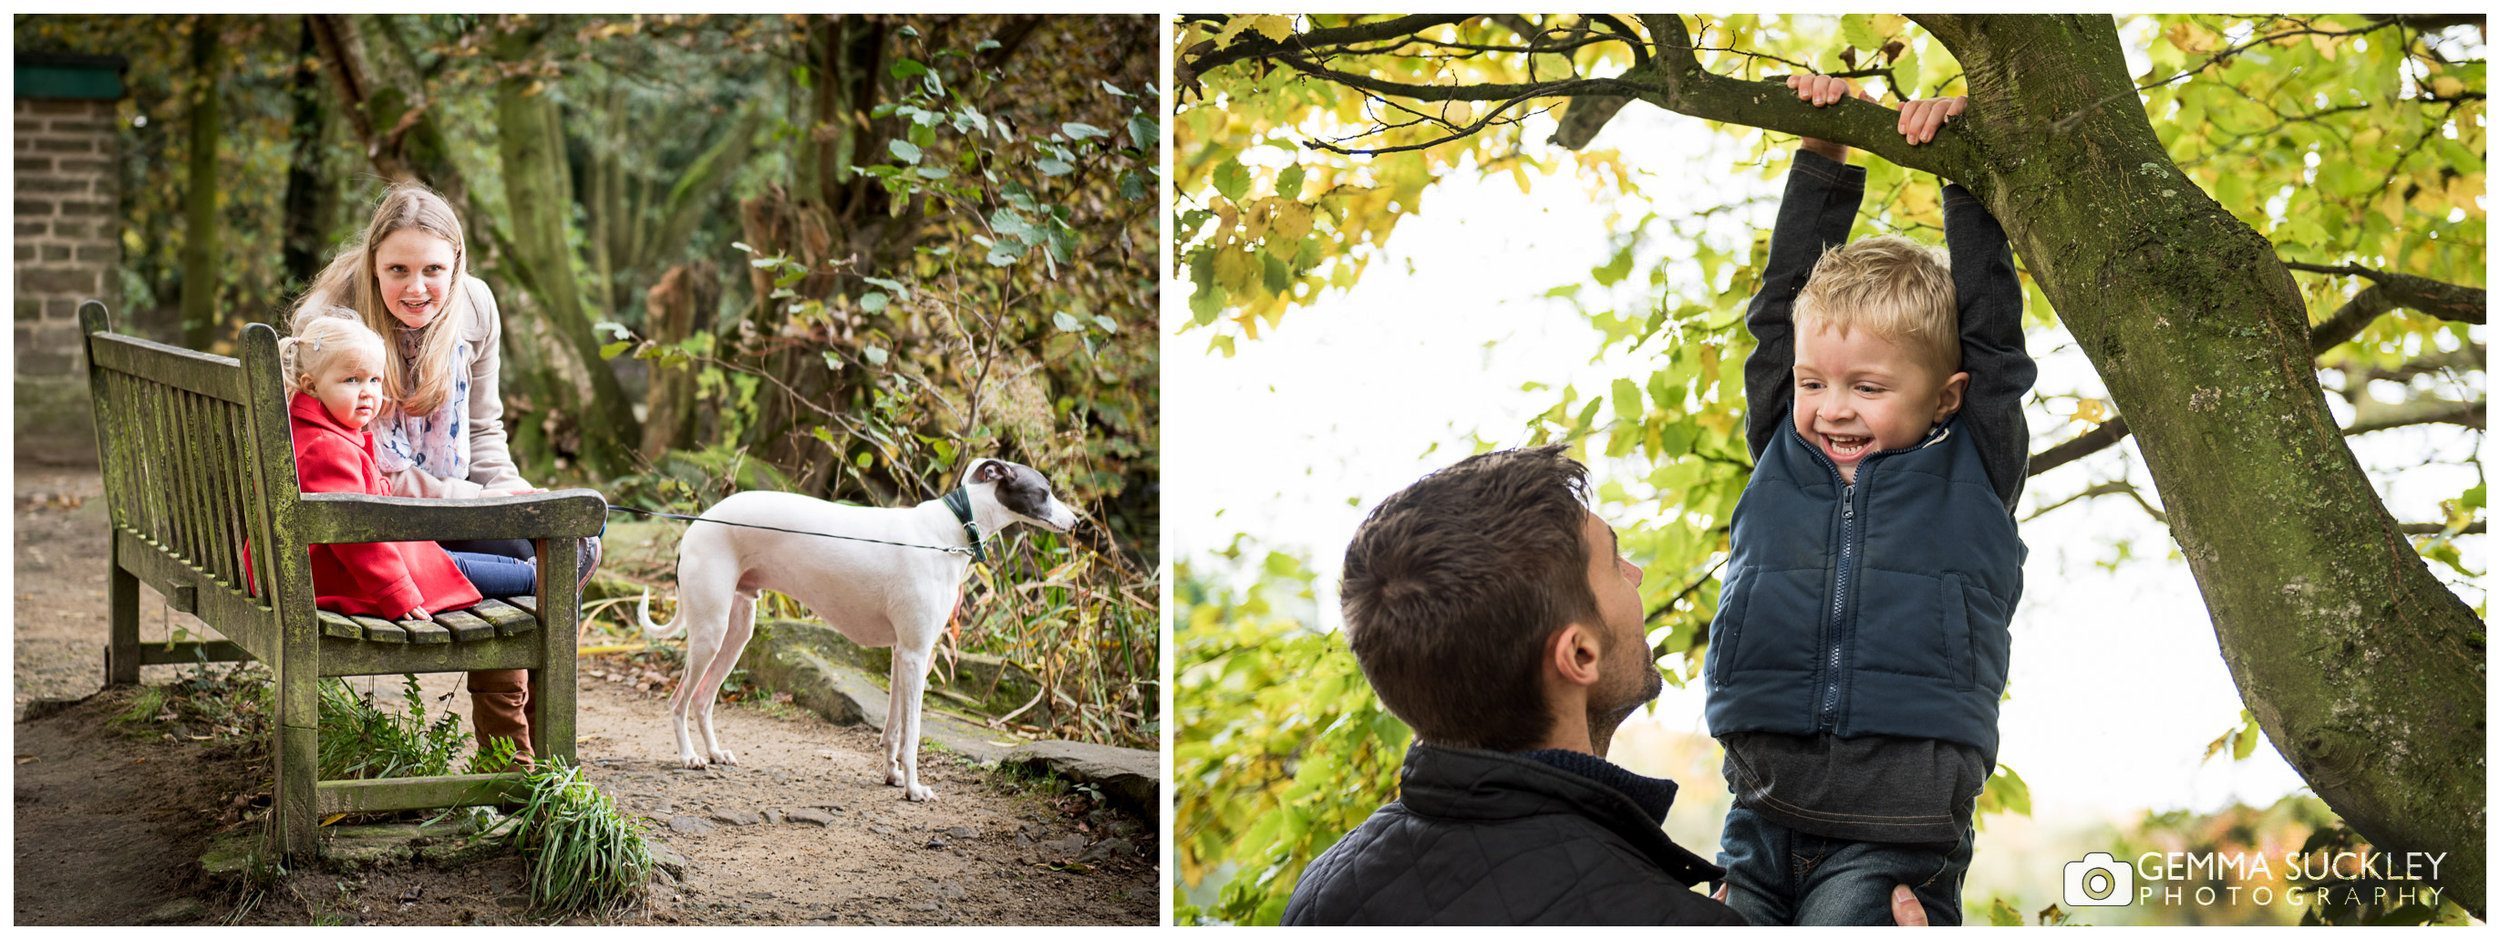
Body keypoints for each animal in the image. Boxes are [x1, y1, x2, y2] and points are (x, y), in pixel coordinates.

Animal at [635, 460, 1075, 795]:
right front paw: (914, 789)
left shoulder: (901, 654)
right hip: (710, 633)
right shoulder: (917, 655)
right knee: (678, 700)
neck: (947, 531)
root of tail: (696, 524)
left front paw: (893, 775)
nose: (1076, 522)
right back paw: (689, 756)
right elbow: (913, 734)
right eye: (1045, 491)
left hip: (736, 632)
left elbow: (893, 730)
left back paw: (714, 753)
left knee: (703, 698)